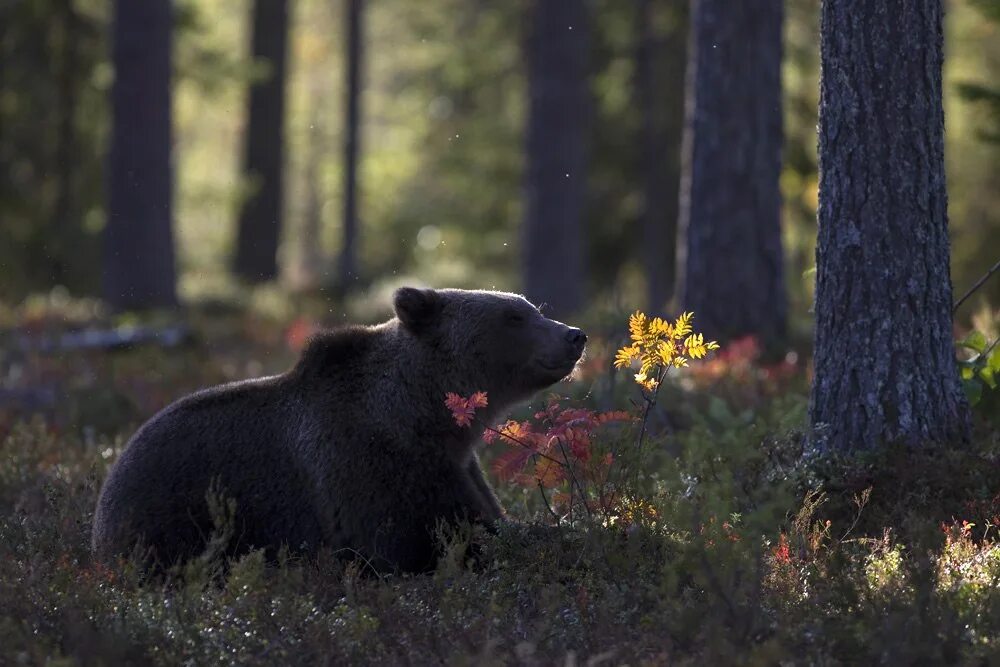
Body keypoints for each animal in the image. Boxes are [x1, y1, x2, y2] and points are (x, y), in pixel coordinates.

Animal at [93, 288, 584, 576]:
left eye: (532, 308)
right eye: (512, 316)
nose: (574, 334)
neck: (424, 418)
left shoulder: (460, 468)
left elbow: (490, 519)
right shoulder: (372, 467)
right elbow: (432, 539)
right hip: (171, 517)